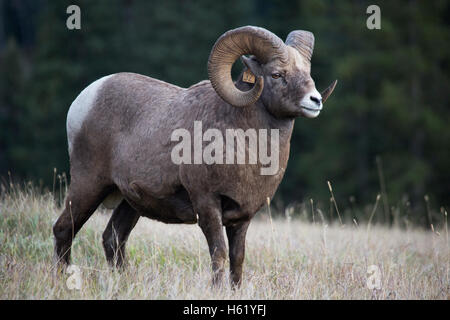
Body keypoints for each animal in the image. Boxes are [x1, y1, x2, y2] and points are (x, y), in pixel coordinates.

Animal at [53, 26, 334, 286]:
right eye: (276, 74)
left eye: (308, 73)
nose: (315, 100)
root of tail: (85, 99)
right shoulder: (207, 204)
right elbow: (219, 254)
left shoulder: (242, 217)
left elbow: (238, 260)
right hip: (89, 185)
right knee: (64, 229)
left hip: (129, 202)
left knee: (113, 239)